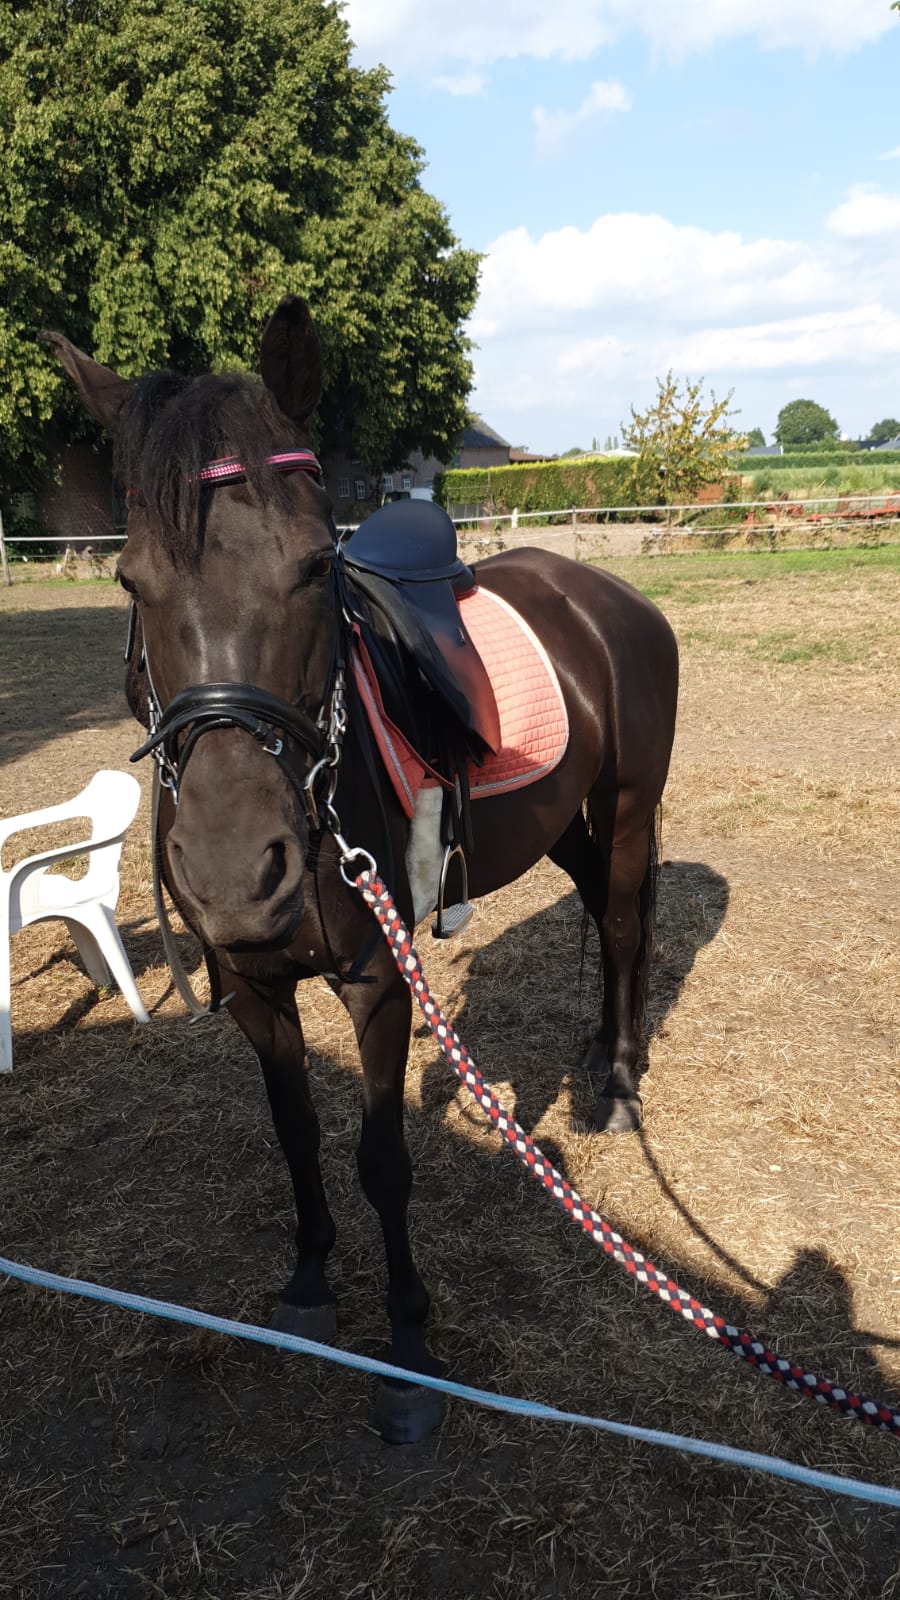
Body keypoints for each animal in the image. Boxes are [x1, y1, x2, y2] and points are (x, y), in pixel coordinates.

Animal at [42, 297, 672, 1440]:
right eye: (129, 580)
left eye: (309, 566)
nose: (235, 871)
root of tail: (609, 596)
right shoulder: (254, 987)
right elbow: (294, 1131)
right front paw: (307, 1283)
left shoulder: (379, 982)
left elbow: (384, 1160)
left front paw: (410, 1353)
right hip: (563, 823)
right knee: (615, 921)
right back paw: (610, 1050)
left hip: (630, 805)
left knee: (620, 926)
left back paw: (615, 1085)